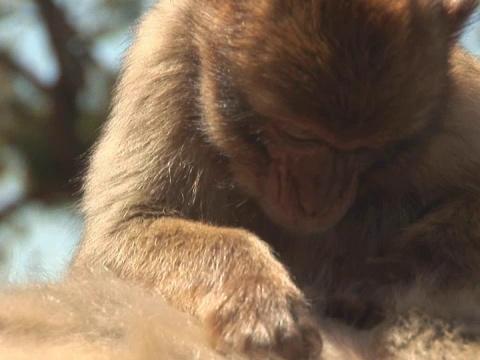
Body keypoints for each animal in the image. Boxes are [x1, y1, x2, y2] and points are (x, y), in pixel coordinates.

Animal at [72, 0, 480, 358]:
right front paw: (256, 298)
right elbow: (119, 234)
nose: (317, 203)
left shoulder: (456, 108)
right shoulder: (165, 63)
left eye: (367, 150)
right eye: (298, 135)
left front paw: (379, 279)